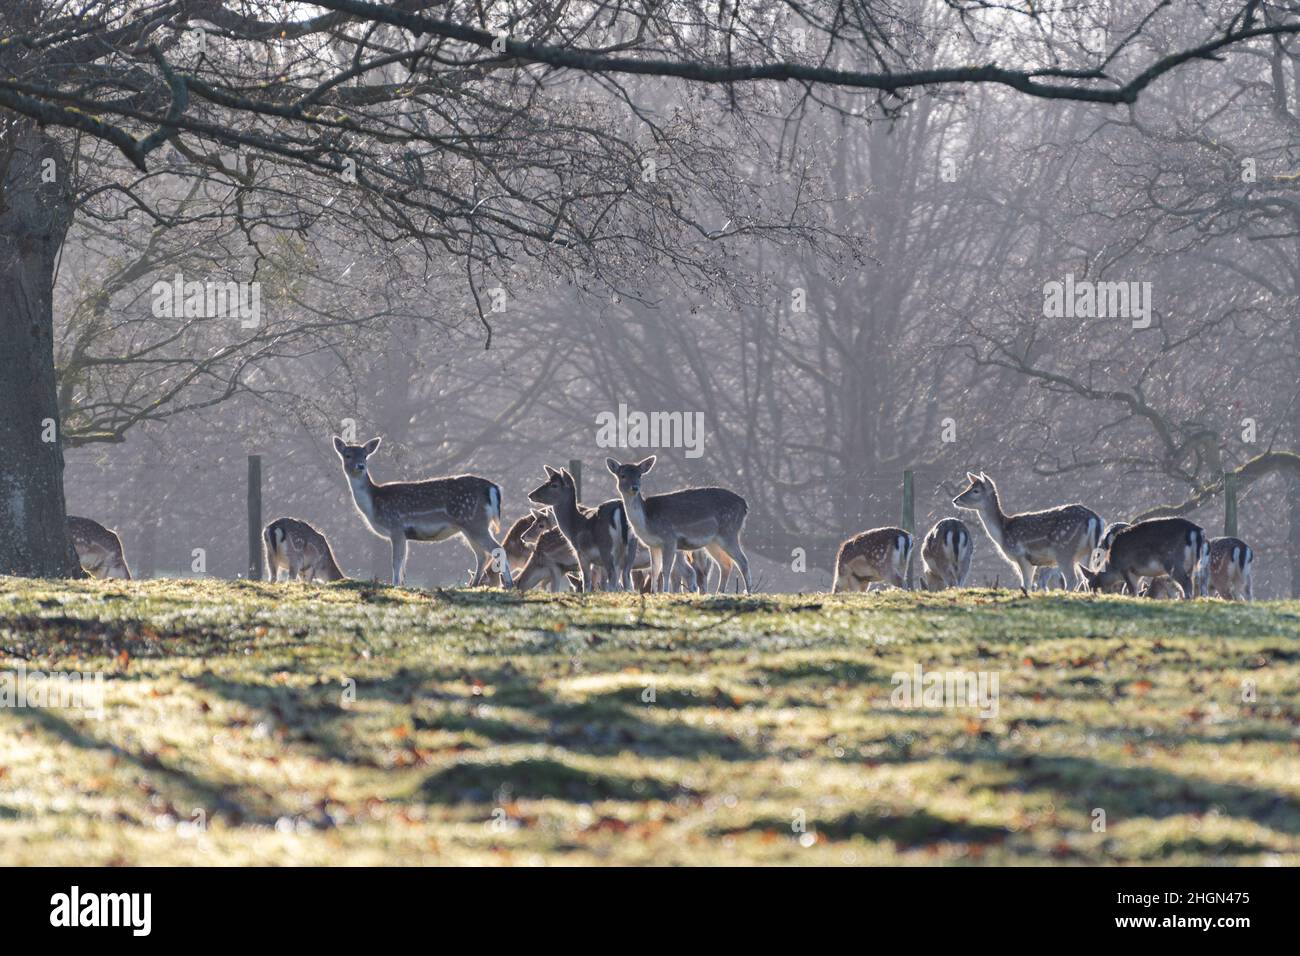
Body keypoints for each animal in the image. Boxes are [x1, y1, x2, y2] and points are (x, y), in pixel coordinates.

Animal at [333, 436, 511, 587]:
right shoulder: (403, 534)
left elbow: (396, 562)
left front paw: (395, 585)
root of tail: (492, 488)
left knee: (497, 549)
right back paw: (472, 585)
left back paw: (508, 584)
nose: (360, 466)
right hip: (469, 526)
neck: (373, 504)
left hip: (475, 522)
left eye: (365, 456)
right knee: (482, 555)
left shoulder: (395, 526)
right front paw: (402, 585)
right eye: (347, 455)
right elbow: (403, 563)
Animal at [605, 456, 751, 593]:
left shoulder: (669, 538)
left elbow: (665, 570)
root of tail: (744, 505)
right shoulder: (653, 544)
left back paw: (748, 592)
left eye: (639, 475)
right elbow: (655, 570)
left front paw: (664, 592)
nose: (635, 487)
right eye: (622, 475)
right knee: (726, 564)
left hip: (729, 531)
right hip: (713, 541)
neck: (646, 520)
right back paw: (718, 593)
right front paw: (653, 593)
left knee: (743, 561)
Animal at [952, 472, 1102, 594]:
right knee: (1088, 576)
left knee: (1072, 579)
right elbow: (1028, 584)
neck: (1002, 533)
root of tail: (1094, 518)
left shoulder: (1021, 555)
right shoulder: (1032, 562)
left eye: (976, 491)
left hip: (1065, 550)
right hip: (1088, 552)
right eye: (968, 487)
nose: (955, 500)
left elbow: (1026, 584)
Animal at [1078, 517, 1207, 599]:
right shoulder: (1138, 574)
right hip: (1192, 565)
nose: (1093, 595)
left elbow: (1132, 591)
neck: (1113, 566)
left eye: (1092, 585)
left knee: (1186, 583)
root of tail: (1196, 530)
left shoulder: (1127, 569)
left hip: (1173, 563)